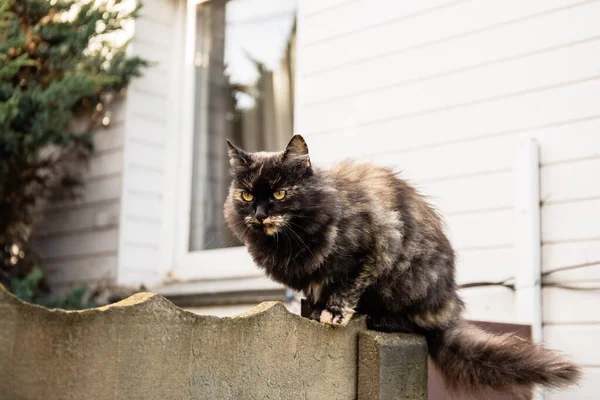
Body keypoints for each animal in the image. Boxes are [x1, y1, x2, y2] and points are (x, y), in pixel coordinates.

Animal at [223, 135, 580, 396]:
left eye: (280, 194)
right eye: (246, 196)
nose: (259, 215)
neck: (286, 241)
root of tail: (449, 307)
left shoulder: (372, 248)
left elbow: (346, 287)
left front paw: (334, 314)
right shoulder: (314, 279)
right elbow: (314, 295)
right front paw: (312, 311)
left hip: (407, 281)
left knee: (417, 325)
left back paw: (381, 320)